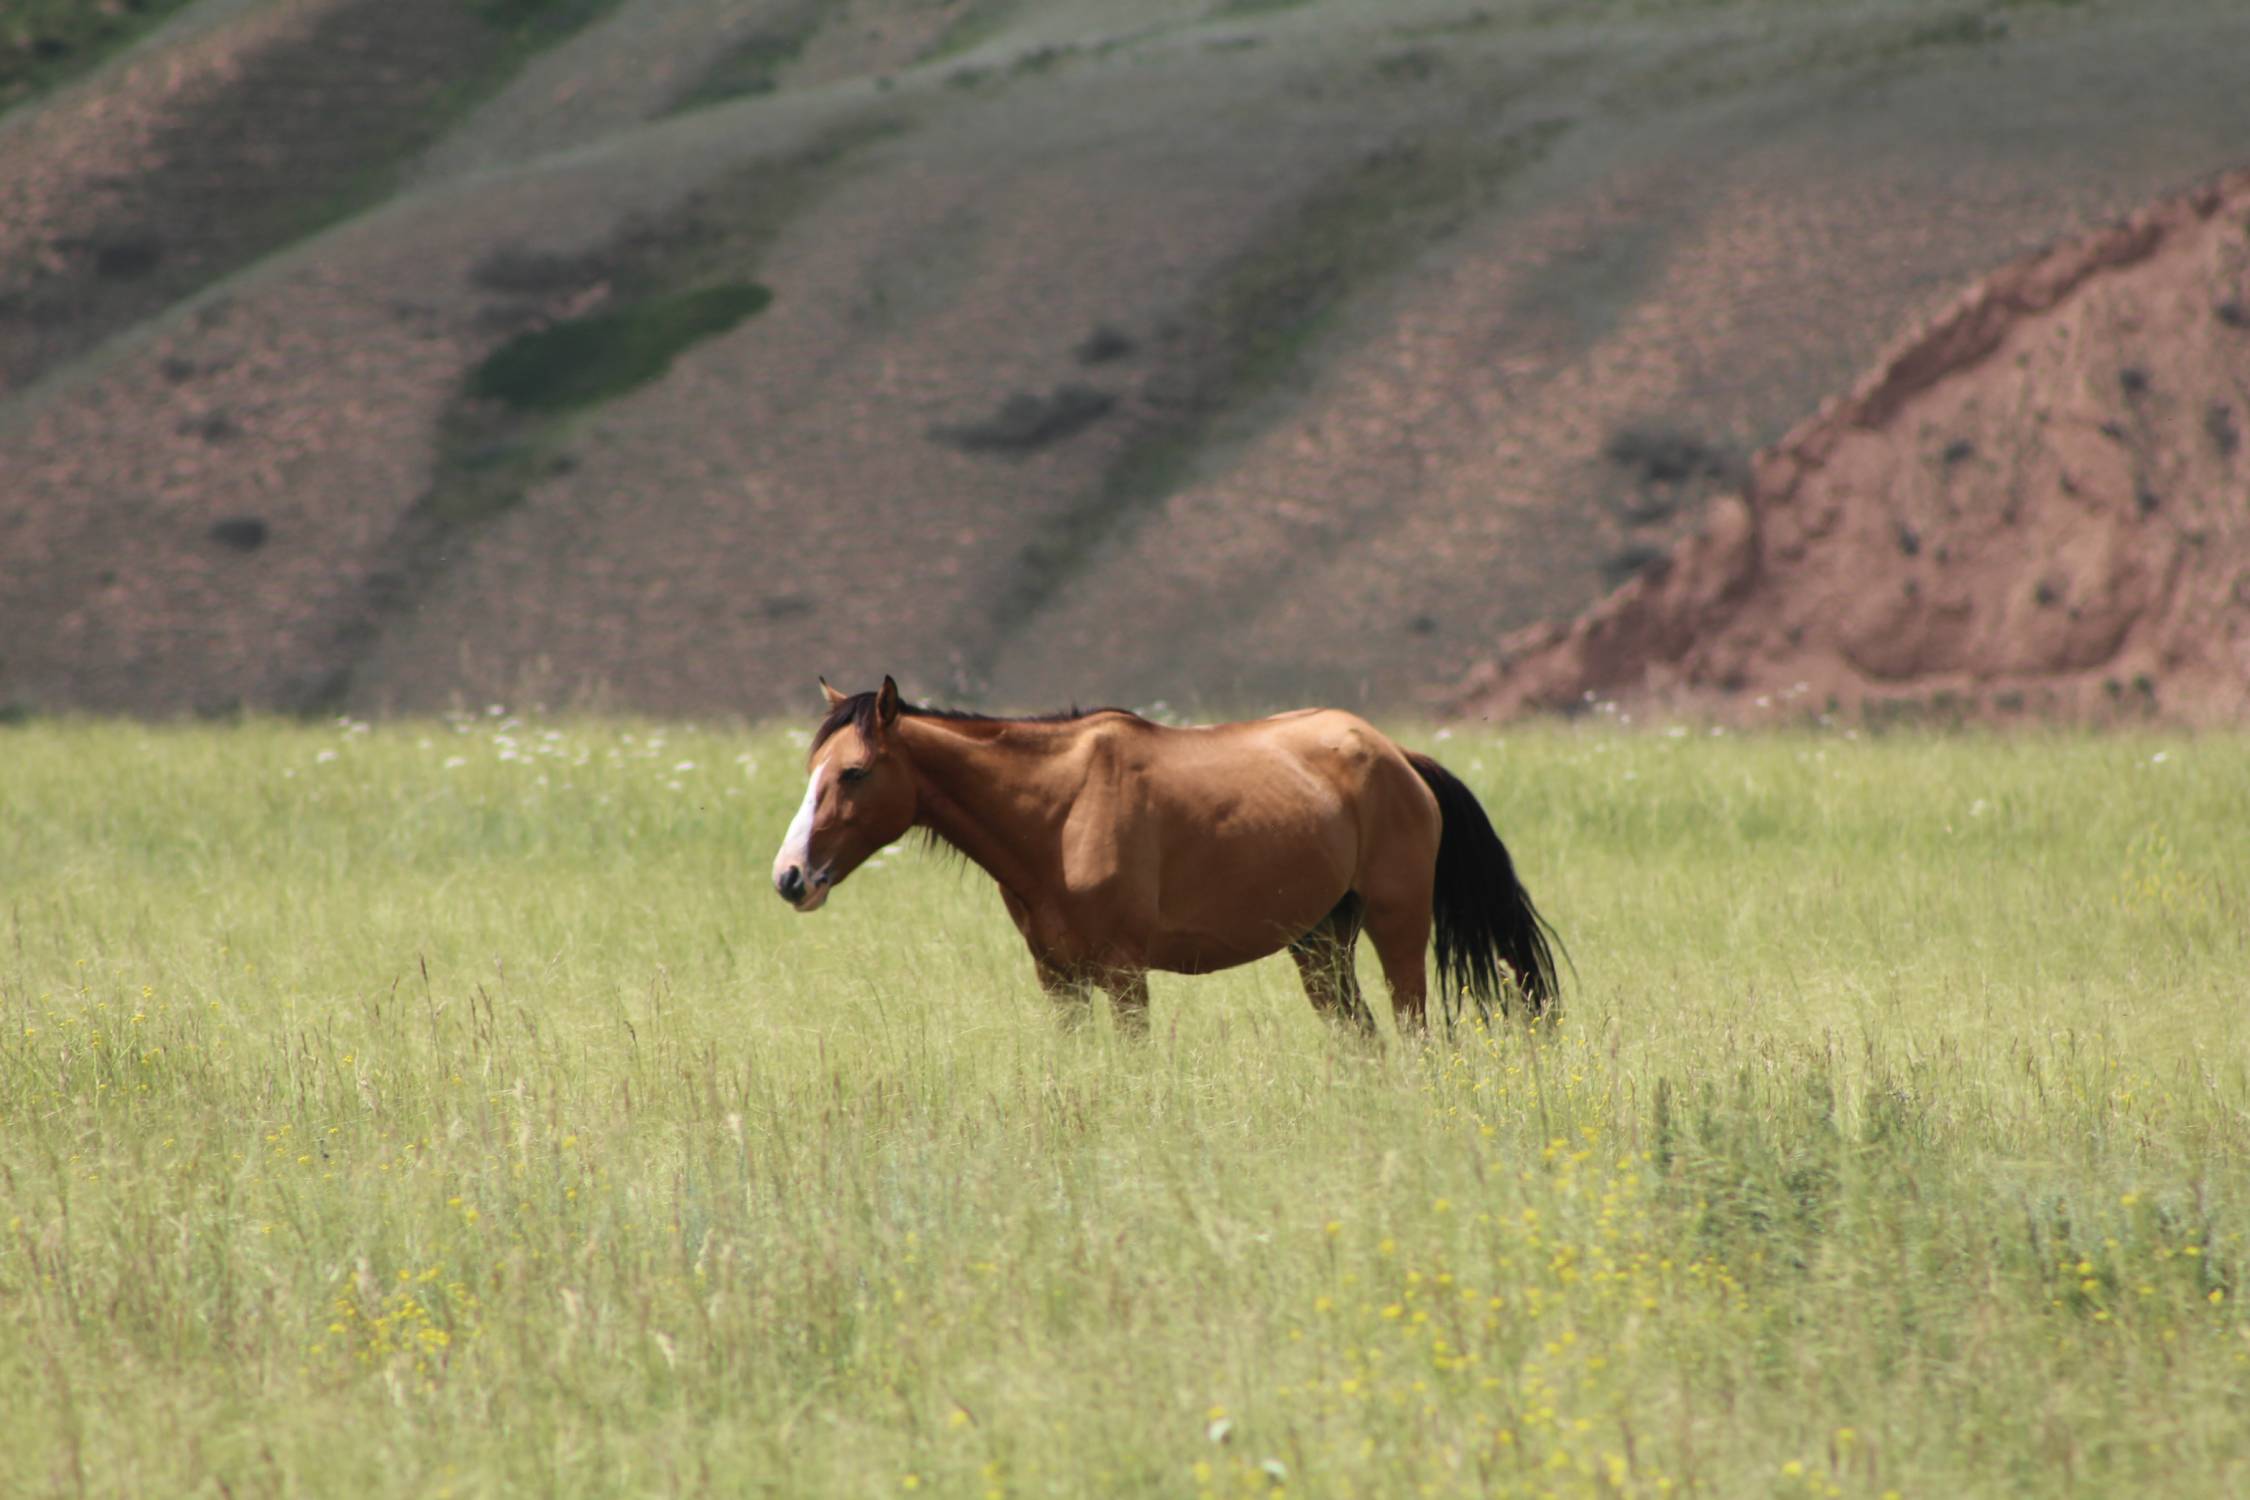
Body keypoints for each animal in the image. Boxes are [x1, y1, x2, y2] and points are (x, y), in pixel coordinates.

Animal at [769, 676, 1558, 1036]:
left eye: (854, 773)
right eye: (811, 769)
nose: (790, 877)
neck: (1056, 814)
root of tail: (1397, 756)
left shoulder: (1124, 975)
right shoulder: (1057, 979)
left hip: (1398, 927)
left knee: (1413, 1030)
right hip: (1320, 941)